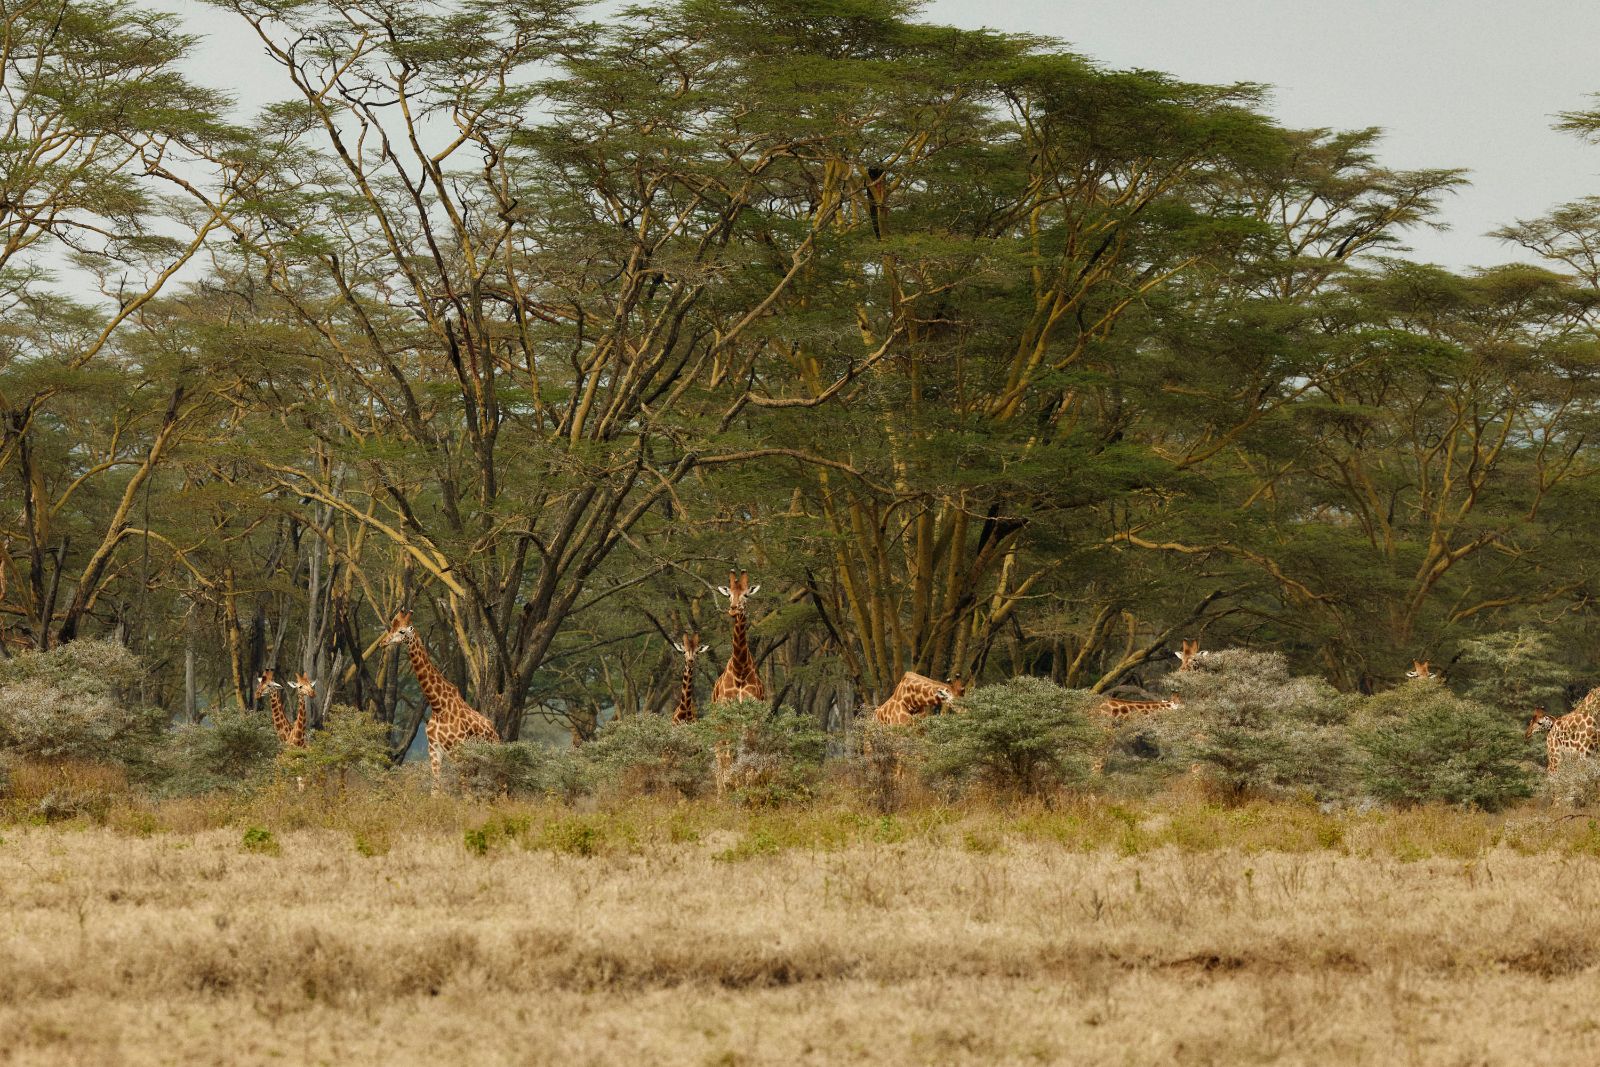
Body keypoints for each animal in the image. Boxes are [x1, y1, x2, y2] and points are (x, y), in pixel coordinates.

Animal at [382, 609, 500, 789]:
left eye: (401, 631)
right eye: (391, 628)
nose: (383, 643)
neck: (438, 706)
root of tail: (497, 734)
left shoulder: (458, 750)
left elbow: (463, 790)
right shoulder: (434, 749)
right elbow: (436, 788)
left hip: (490, 758)